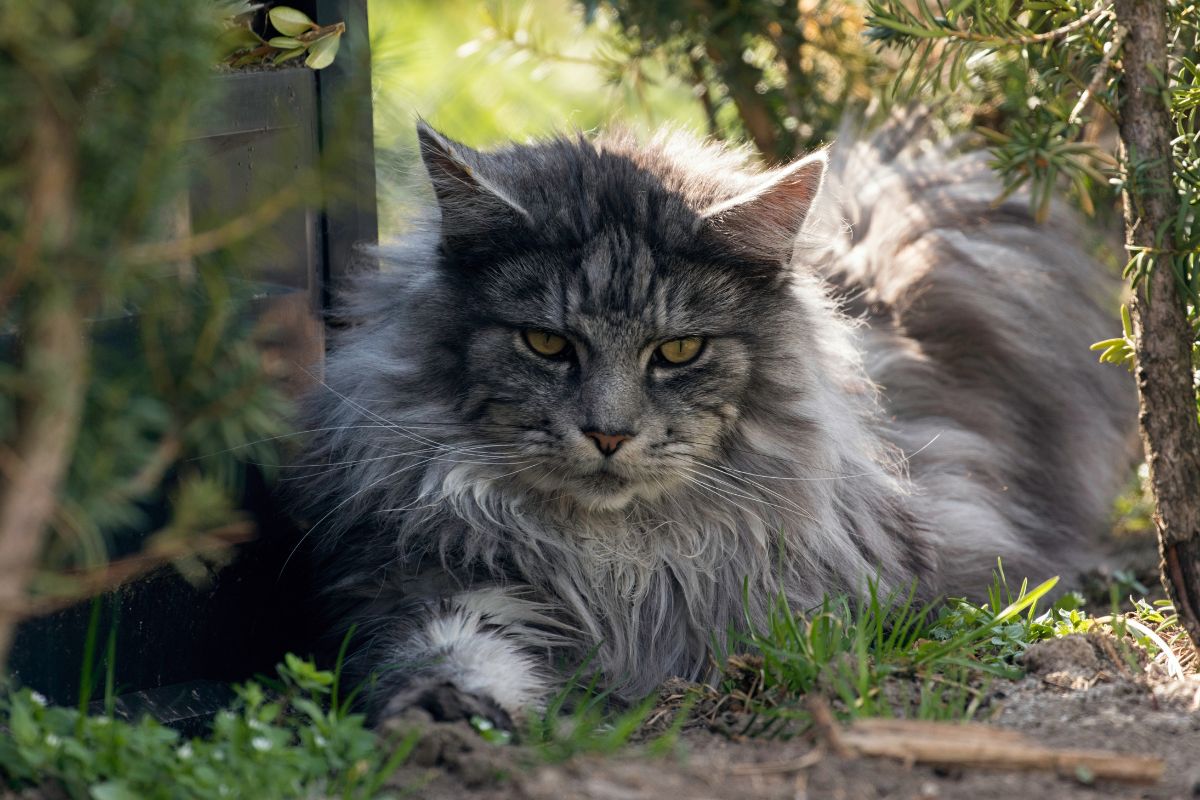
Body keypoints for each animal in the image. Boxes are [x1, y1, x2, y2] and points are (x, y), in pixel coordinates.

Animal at [290, 115, 1132, 729]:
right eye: (547, 344)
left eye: (679, 350)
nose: (608, 433)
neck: (614, 563)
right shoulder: (433, 583)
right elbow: (451, 653)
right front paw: (443, 719)